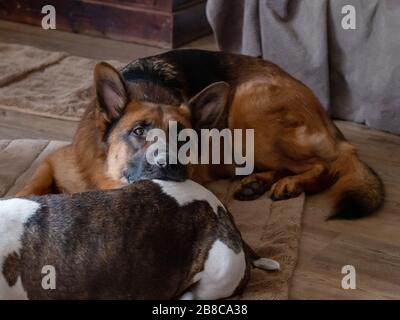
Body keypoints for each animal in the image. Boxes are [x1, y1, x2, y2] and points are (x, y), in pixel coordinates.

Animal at [18, 49, 384, 218]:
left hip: (246, 111)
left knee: (325, 165)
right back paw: (256, 183)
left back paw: (293, 183)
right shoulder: (53, 161)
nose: (169, 165)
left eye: (184, 140)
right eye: (139, 131)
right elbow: (29, 186)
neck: (105, 178)